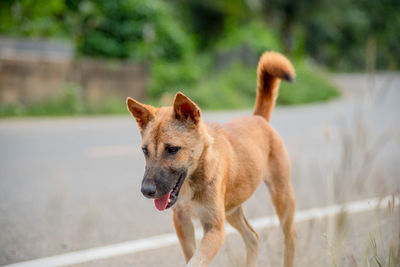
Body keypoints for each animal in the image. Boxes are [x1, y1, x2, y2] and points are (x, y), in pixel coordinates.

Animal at [126, 51, 296, 266]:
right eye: (145, 151)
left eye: (172, 149)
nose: (147, 191)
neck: (195, 177)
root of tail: (259, 118)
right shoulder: (182, 223)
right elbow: (191, 257)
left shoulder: (215, 229)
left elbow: (195, 261)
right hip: (232, 210)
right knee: (252, 237)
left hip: (282, 198)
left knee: (290, 237)